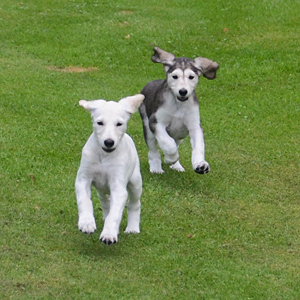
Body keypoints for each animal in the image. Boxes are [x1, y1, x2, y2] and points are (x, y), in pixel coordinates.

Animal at [75, 95, 145, 245]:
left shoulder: (118, 187)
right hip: (102, 188)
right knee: (105, 202)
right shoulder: (83, 179)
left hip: (135, 182)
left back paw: (132, 228)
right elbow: (84, 201)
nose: (109, 142)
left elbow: (115, 214)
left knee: (134, 204)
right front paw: (86, 223)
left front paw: (109, 234)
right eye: (100, 123)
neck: (104, 156)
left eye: (119, 124)